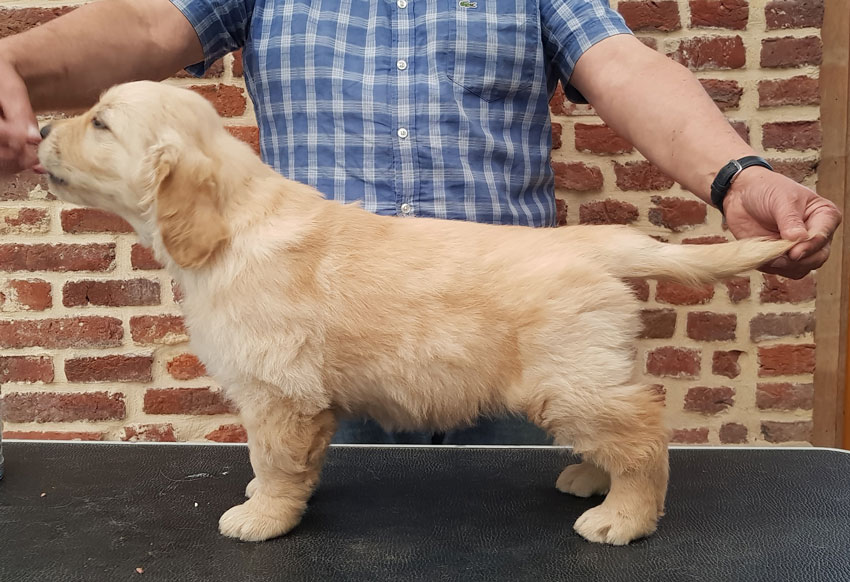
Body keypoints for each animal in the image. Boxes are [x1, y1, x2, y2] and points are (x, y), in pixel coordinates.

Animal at [36, 82, 792, 548]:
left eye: (100, 122)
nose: (39, 125)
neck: (231, 225)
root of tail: (592, 243)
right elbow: (282, 461)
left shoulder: (280, 389)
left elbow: (277, 460)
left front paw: (262, 516)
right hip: (588, 369)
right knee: (630, 417)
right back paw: (593, 480)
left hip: (565, 378)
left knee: (642, 433)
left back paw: (624, 517)